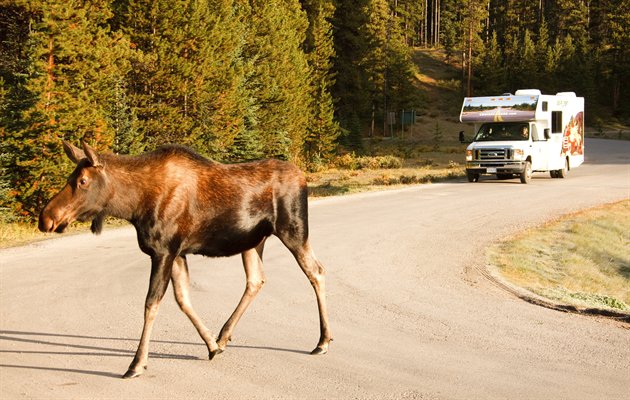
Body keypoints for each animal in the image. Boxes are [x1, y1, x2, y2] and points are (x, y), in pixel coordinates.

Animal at [39, 141, 334, 378]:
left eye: (82, 181)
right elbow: (183, 299)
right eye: (71, 177)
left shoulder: (163, 251)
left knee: (316, 270)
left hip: (293, 229)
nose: (47, 218)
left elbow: (151, 304)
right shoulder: (178, 252)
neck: (133, 206)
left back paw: (322, 341)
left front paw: (136, 364)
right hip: (253, 241)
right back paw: (224, 336)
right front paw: (211, 345)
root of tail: (303, 177)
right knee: (256, 280)